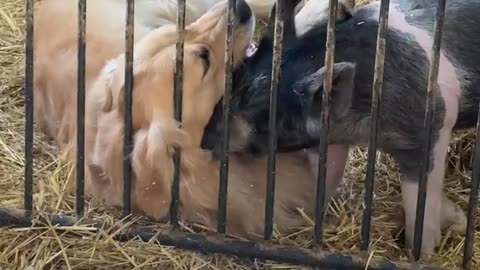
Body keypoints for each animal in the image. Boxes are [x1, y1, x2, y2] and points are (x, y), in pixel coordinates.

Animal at [201, 0, 478, 256]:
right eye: (237, 77)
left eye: (261, 115)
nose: (203, 140)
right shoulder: (328, 139)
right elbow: (326, 175)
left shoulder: (430, 127)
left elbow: (420, 199)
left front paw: (421, 253)